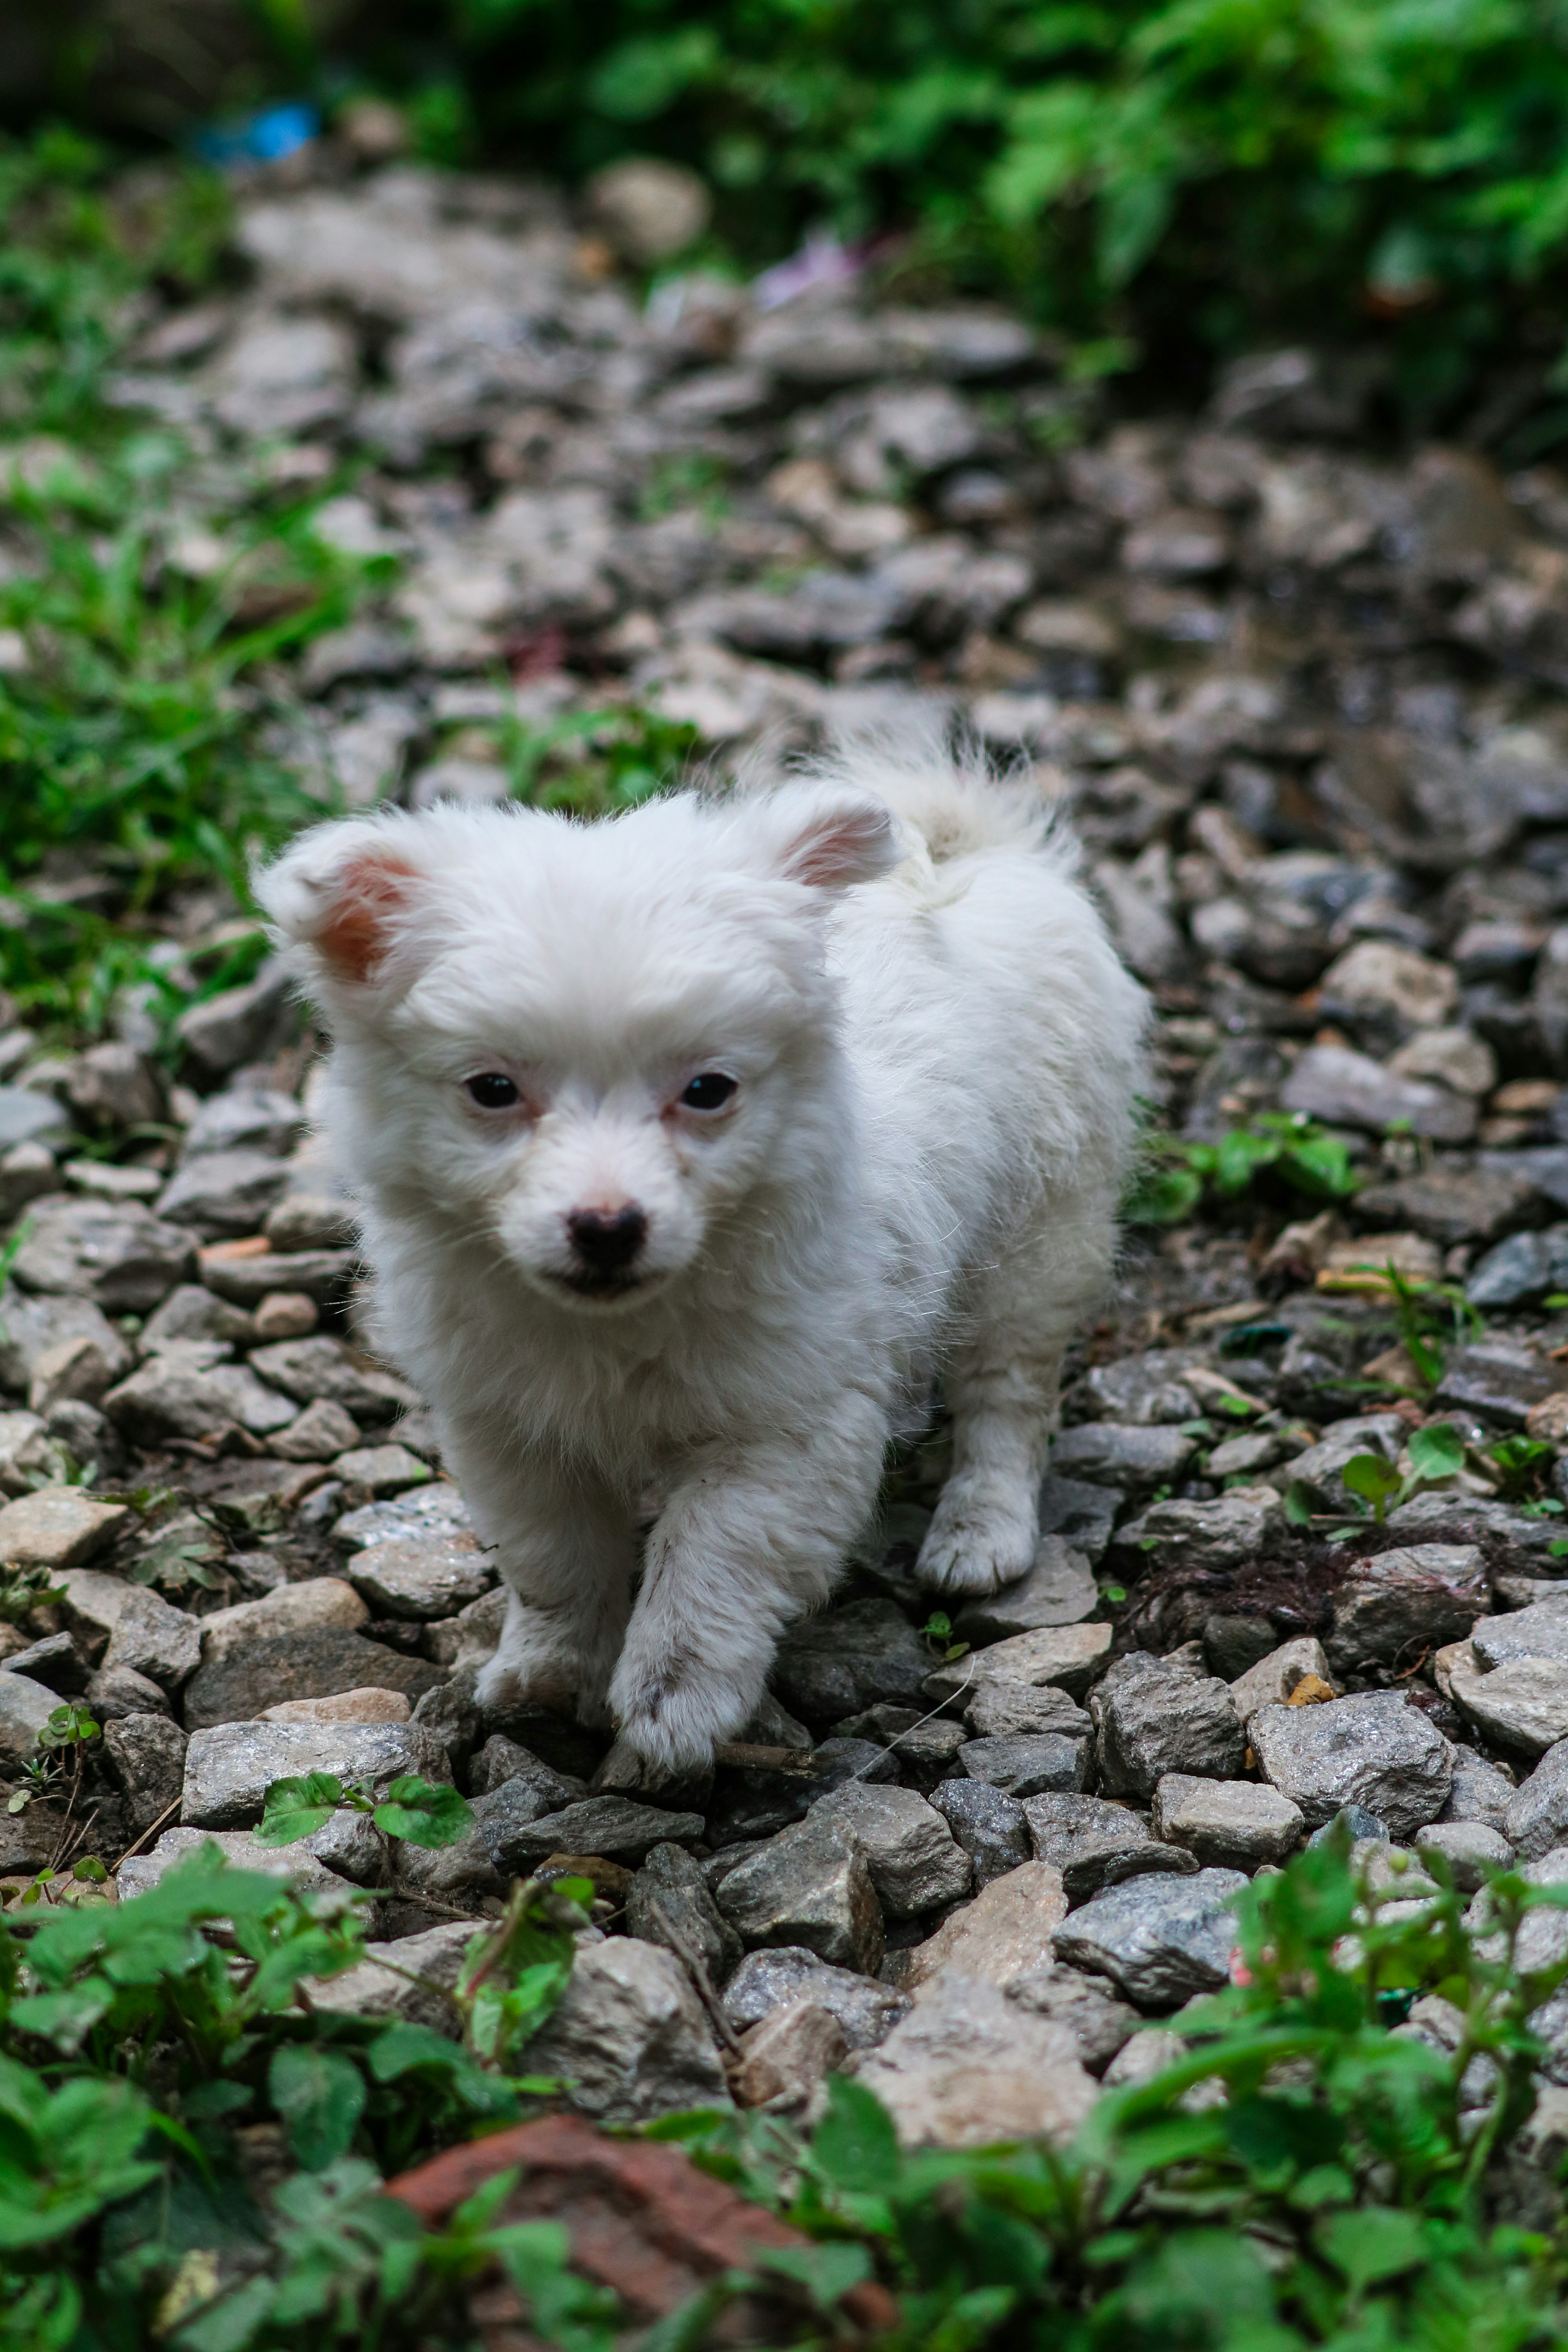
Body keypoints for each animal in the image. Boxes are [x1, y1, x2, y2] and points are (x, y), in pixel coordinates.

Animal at [256, 739, 1148, 1781]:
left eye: (708, 1090)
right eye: (492, 1090)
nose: (607, 1226)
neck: (615, 1326)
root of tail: (975, 852)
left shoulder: (783, 1428)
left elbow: (711, 1561)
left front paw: (674, 1705)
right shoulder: (508, 1425)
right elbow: (554, 1559)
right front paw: (551, 1672)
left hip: (1039, 1232)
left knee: (1007, 1393)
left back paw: (979, 1531)